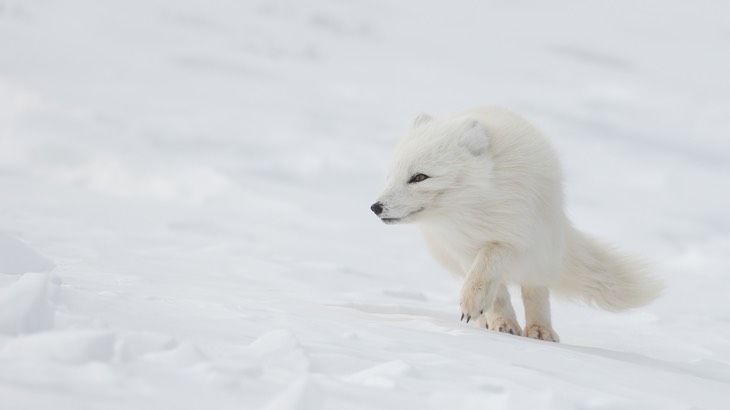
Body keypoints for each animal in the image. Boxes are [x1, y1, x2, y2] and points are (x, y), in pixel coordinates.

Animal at [370, 107, 660, 342]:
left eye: (420, 177)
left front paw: (475, 302)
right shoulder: (463, 250)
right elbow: (495, 291)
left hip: (542, 253)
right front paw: (500, 321)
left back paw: (540, 331)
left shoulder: (515, 238)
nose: (376, 207)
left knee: (536, 291)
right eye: (390, 176)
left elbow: (490, 267)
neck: (472, 212)